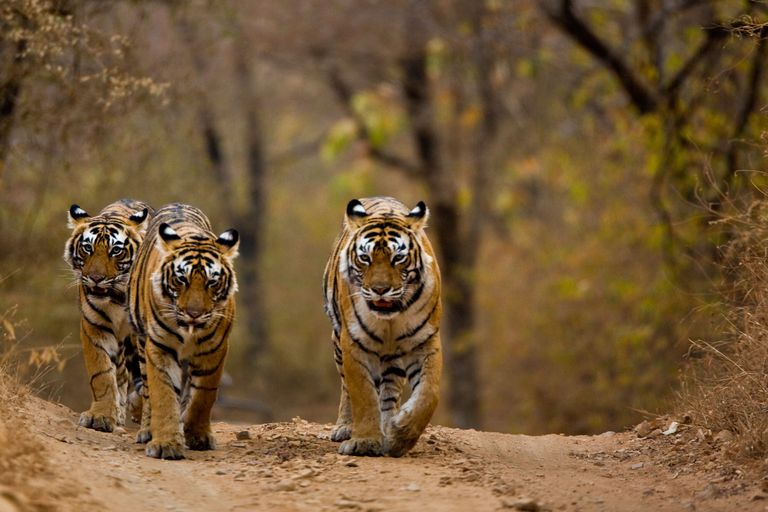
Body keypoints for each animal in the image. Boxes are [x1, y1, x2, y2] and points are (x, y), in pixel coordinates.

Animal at [63, 200, 154, 432]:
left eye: (116, 251)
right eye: (88, 248)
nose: (96, 278)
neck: (117, 295)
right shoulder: (95, 327)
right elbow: (102, 374)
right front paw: (101, 416)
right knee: (121, 374)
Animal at [127, 204, 238, 460]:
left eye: (212, 282)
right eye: (181, 280)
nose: (193, 313)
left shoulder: (215, 349)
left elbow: (203, 396)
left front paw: (197, 436)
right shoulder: (159, 346)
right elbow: (164, 394)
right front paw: (166, 444)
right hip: (141, 344)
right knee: (147, 391)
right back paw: (147, 430)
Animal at [324, 197, 444, 456]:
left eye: (398, 258)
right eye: (365, 258)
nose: (380, 289)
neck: (390, 318)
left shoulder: (425, 341)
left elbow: (428, 393)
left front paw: (400, 436)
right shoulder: (354, 342)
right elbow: (362, 394)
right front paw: (365, 441)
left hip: (393, 358)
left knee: (389, 393)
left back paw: (389, 425)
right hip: (338, 341)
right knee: (347, 388)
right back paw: (346, 427)